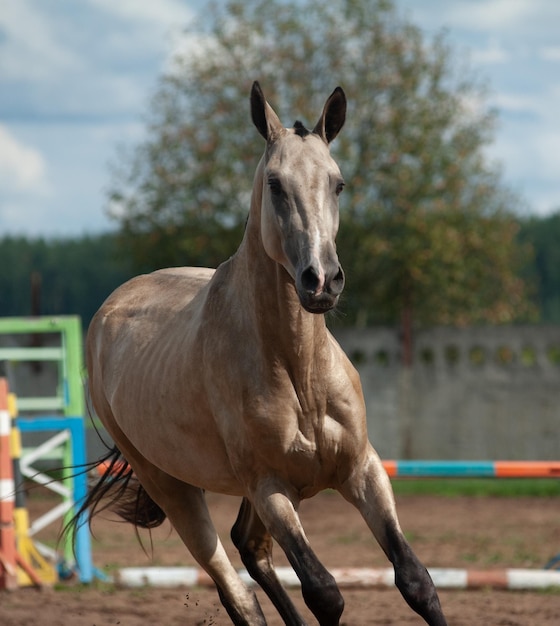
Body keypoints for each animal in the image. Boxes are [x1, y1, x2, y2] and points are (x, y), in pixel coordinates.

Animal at [81, 83, 448, 624]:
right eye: (275, 184)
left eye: (338, 184)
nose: (322, 280)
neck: (300, 373)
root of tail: (109, 310)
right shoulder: (270, 489)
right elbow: (324, 592)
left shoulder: (362, 470)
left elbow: (416, 581)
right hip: (173, 487)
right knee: (235, 589)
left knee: (249, 549)